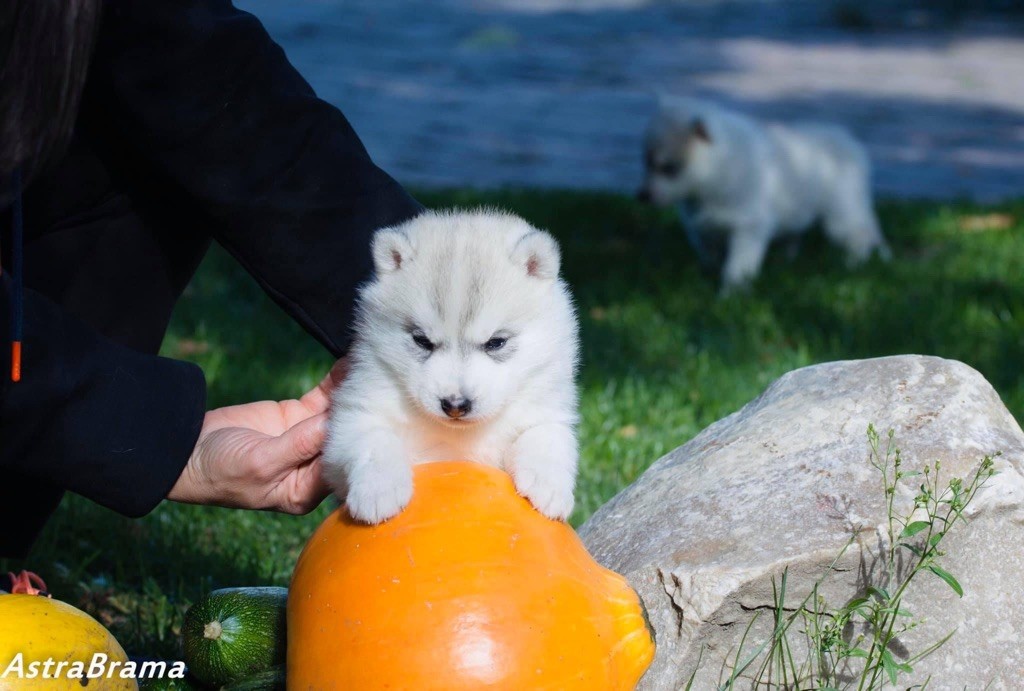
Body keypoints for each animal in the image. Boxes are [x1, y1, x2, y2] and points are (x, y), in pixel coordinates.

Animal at [321, 209, 577, 524]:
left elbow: (546, 437)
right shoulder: (354, 414)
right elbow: (373, 439)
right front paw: (379, 489)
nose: (455, 405)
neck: (460, 437)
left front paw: (548, 486)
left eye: (496, 342)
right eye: (422, 341)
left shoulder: (548, 411)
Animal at [638, 97, 888, 292]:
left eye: (669, 167)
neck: (720, 169)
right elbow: (709, 254)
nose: (642, 196)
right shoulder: (702, 228)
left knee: (860, 237)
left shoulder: (748, 227)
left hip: (841, 215)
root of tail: (851, 142)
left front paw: (730, 295)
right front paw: (705, 277)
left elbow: (737, 267)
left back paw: (852, 265)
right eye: (646, 162)